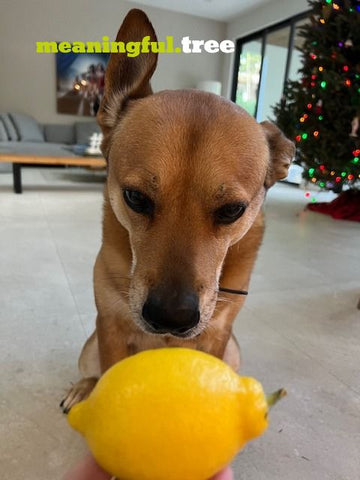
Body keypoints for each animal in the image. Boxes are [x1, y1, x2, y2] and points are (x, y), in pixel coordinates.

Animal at [60, 8, 294, 412]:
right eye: (135, 197)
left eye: (233, 210)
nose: (171, 317)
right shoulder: (110, 329)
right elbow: (109, 376)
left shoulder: (217, 337)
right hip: (90, 346)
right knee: (92, 372)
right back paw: (82, 388)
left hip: (233, 352)